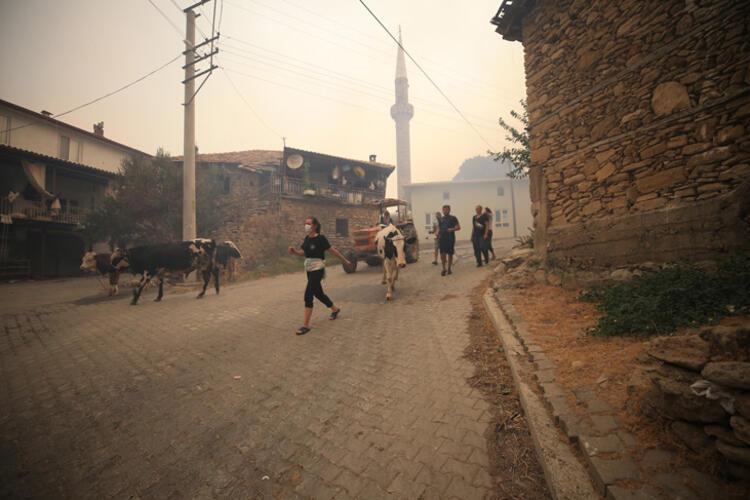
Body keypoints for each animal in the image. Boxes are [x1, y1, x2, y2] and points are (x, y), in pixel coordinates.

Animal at [111, 238, 242, 304]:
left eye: (117, 258)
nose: (111, 266)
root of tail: (210, 241)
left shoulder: (148, 272)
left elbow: (140, 285)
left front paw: (134, 300)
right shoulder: (159, 273)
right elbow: (160, 285)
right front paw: (158, 297)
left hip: (204, 265)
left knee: (208, 278)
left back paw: (201, 293)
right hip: (208, 265)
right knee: (215, 273)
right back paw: (216, 289)